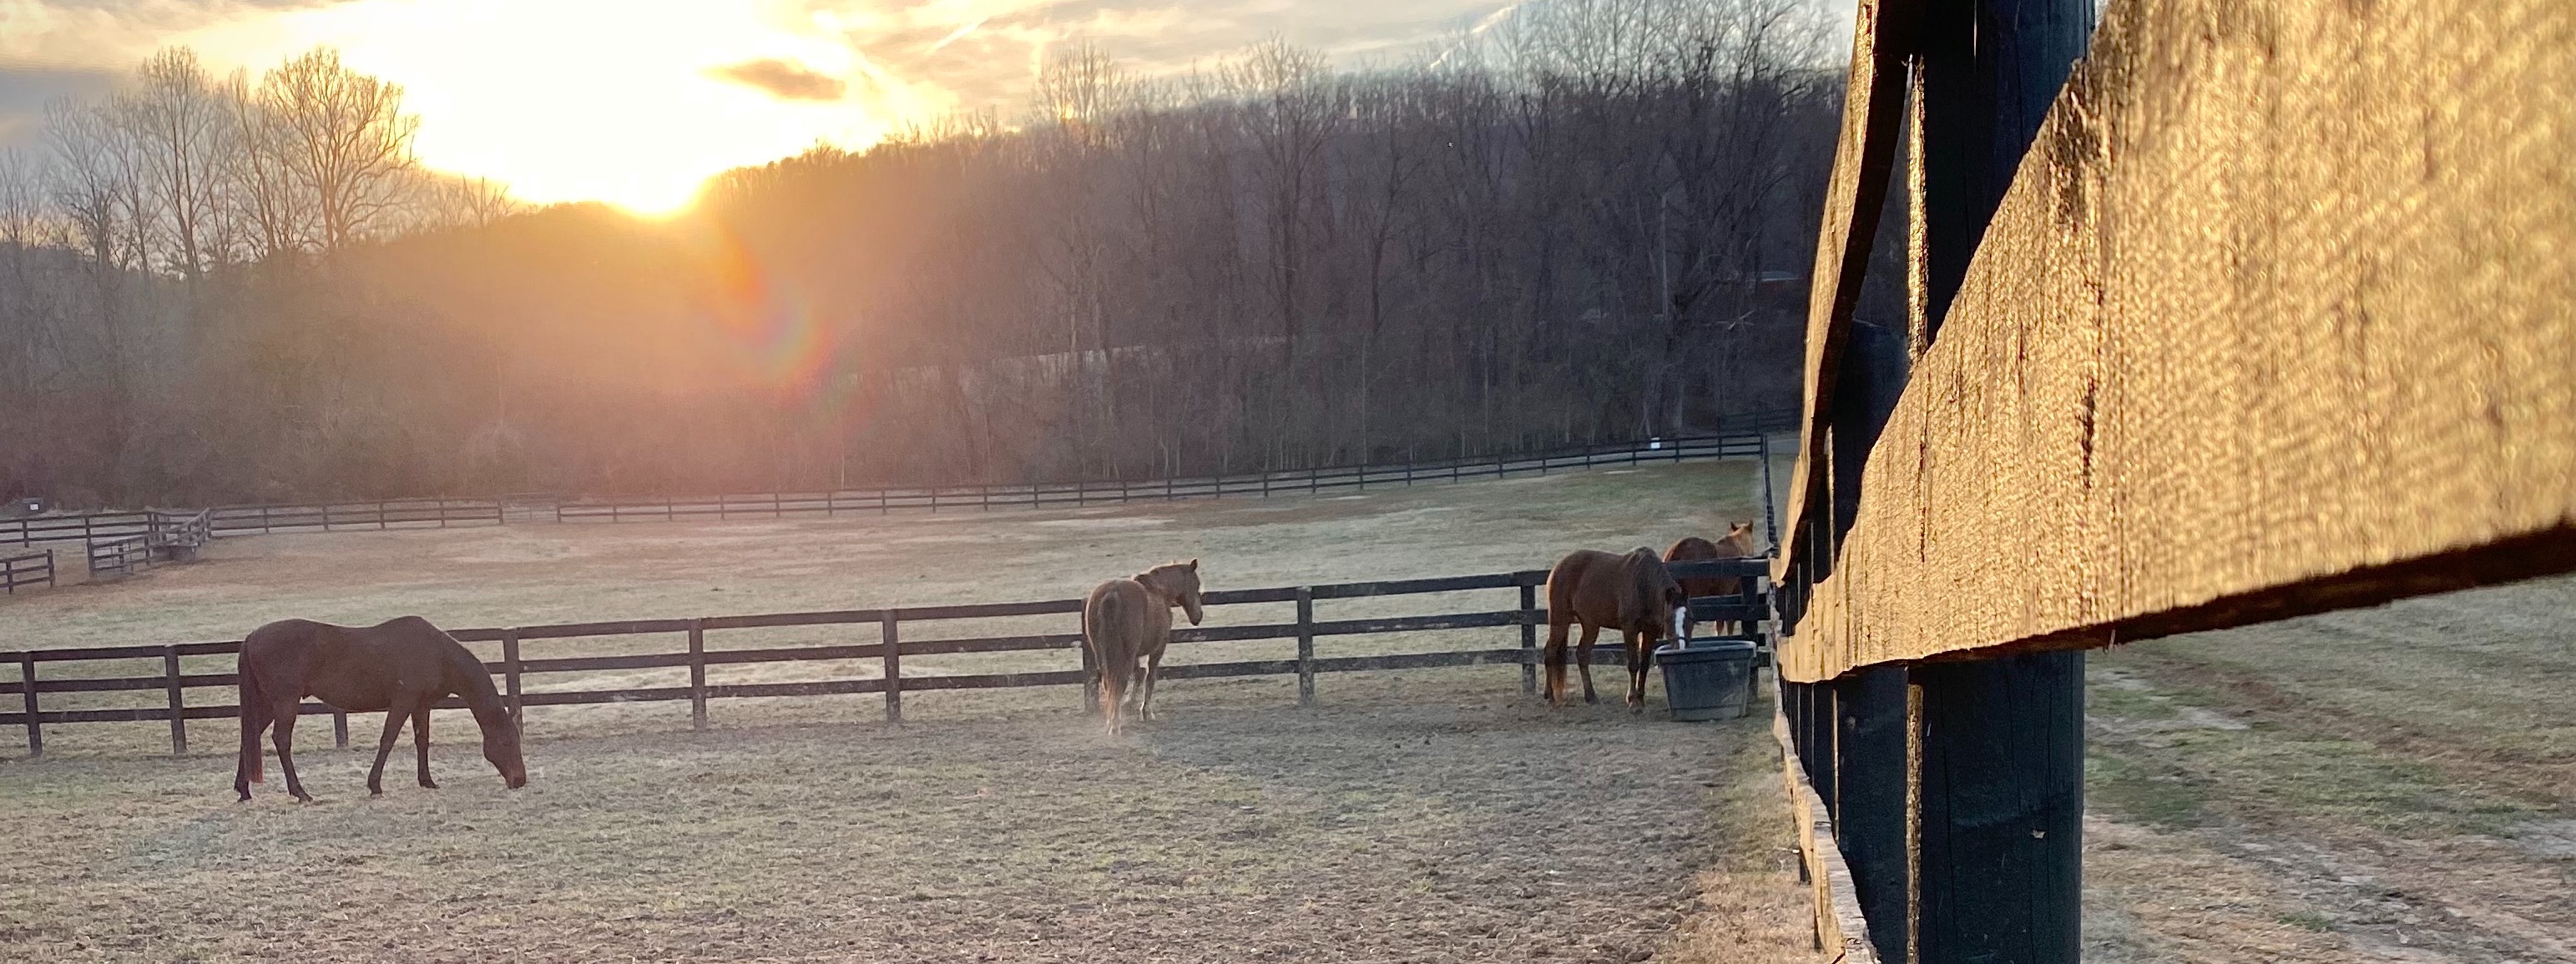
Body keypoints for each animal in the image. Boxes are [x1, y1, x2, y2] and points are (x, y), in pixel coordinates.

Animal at [235, 616, 527, 802]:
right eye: (506, 742)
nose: (520, 781)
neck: (437, 653)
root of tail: (251, 637)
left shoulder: (421, 705)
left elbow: (422, 741)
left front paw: (427, 781)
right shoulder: (403, 702)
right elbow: (388, 740)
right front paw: (374, 785)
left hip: (269, 704)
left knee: (249, 737)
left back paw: (244, 790)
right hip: (286, 702)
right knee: (281, 740)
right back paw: (300, 792)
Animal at [1081, 559, 1205, 735]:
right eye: (1197, 584)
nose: (1198, 616)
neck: (1159, 591)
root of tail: (1112, 594)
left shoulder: (1135, 655)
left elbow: (1139, 674)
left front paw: (1128, 704)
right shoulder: (1158, 649)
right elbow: (1150, 677)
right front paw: (1146, 711)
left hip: (1103, 653)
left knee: (1108, 682)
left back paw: (1111, 720)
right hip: (1125, 654)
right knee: (1120, 682)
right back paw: (1115, 725)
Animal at [1543, 548, 1688, 710]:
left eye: (1689, 619)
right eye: (1669, 619)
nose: (1680, 647)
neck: (1643, 585)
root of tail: (1558, 567)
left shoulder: (1649, 632)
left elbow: (1644, 665)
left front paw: (1641, 699)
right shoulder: (1629, 630)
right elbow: (1633, 664)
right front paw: (1633, 701)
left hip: (1590, 625)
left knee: (1582, 655)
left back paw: (1590, 696)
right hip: (1560, 621)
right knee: (1550, 652)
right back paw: (1550, 697)